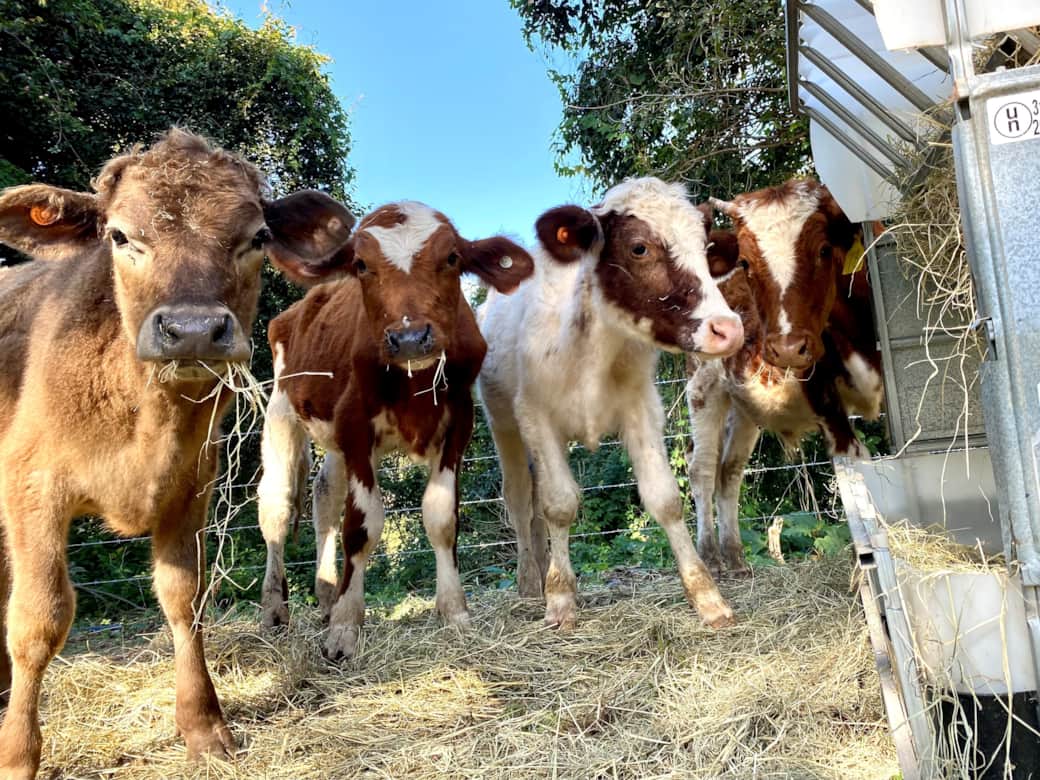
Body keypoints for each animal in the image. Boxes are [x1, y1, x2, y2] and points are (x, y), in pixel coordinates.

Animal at [0, 129, 355, 777]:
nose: (191, 330)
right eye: (120, 236)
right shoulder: (31, 487)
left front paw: (204, 727)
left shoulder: (190, 487)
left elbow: (183, 599)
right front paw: (18, 754)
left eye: (256, 237)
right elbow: (39, 619)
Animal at [257, 201, 534, 660]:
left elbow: (441, 518)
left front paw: (454, 613)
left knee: (324, 496)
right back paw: (275, 612)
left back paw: (326, 599)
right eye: (360, 264)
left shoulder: (457, 423)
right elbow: (361, 526)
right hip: (281, 410)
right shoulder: (355, 426)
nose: (409, 337)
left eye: (452, 258)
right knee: (276, 508)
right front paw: (346, 628)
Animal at [477, 177, 744, 630]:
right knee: (518, 497)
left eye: (705, 248)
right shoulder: (536, 417)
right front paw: (560, 600)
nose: (727, 328)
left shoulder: (642, 410)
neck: (591, 350)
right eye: (638, 248)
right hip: (503, 423)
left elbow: (664, 499)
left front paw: (707, 596)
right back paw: (530, 581)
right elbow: (559, 504)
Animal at [685, 180, 883, 577]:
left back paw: (736, 558)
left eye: (824, 249)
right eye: (745, 262)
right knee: (702, 470)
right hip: (703, 389)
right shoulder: (828, 405)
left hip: (744, 405)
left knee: (729, 472)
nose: (789, 349)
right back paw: (710, 557)